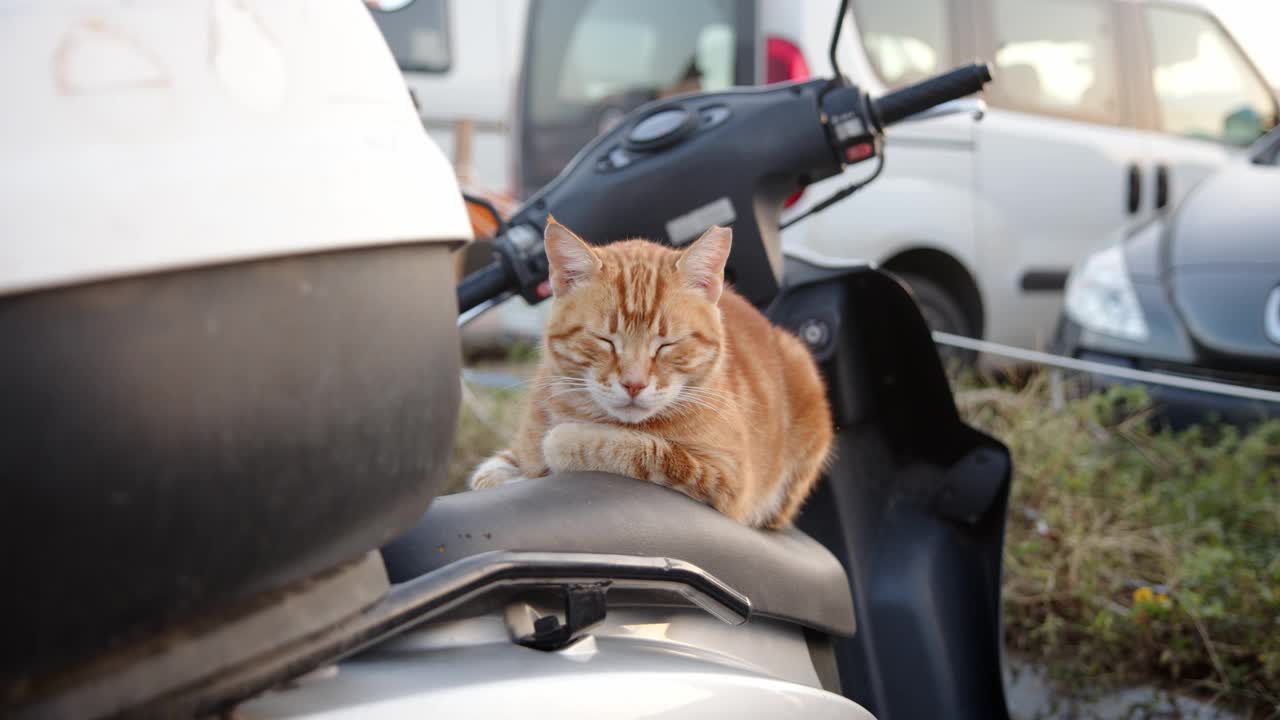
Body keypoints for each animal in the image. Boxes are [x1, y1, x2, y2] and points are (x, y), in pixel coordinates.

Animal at [465, 217, 834, 527]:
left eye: (667, 345)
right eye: (605, 340)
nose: (634, 383)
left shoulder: (724, 480)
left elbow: (632, 447)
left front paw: (563, 441)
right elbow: (489, 473)